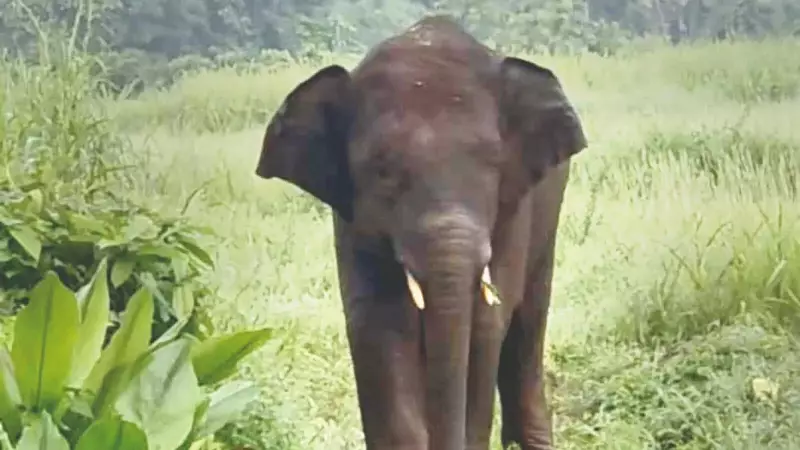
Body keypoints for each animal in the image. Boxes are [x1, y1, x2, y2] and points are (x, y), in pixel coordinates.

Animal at [254, 15, 588, 450]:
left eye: (494, 163)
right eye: (382, 170)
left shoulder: (514, 209)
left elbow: (485, 325)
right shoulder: (353, 224)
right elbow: (380, 327)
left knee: (526, 328)